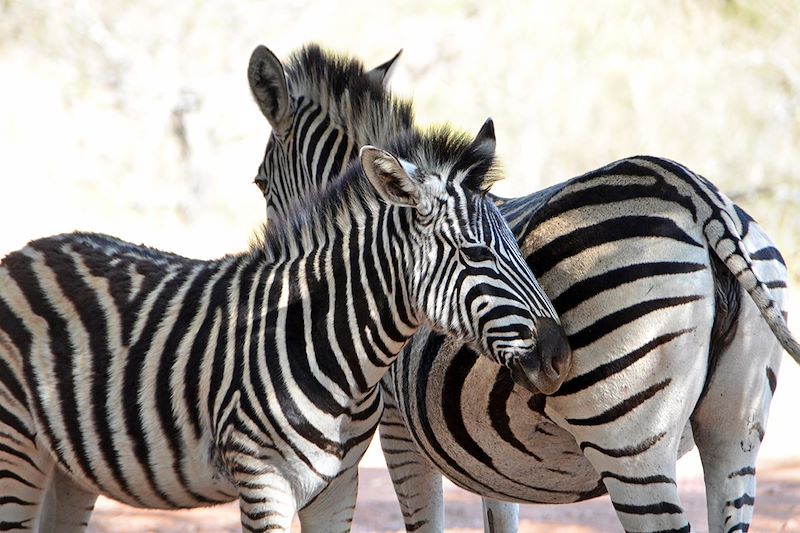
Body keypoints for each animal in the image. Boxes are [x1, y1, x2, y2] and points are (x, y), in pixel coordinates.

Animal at [0, 123, 568, 528]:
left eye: (517, 245)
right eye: (475, 253)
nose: (560, 357)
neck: (337, 351)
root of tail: (28, 250)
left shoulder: (339, 486)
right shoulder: (261, 480)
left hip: (68, 468)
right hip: (16, 450)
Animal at [247, 43, 796, 532]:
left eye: (260, 183)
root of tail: (691, 191)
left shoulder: (396, 431)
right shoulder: (485, 455)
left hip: (630, 442)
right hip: (736, 433)